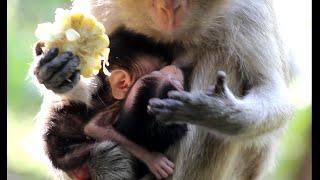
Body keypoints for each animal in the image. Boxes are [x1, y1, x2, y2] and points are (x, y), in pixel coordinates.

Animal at [32, 0, 296, 180]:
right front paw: (60, 73)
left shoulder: (247, 11)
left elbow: (274, 96)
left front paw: (214, 111)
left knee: (223, 54)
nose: (169, 9)